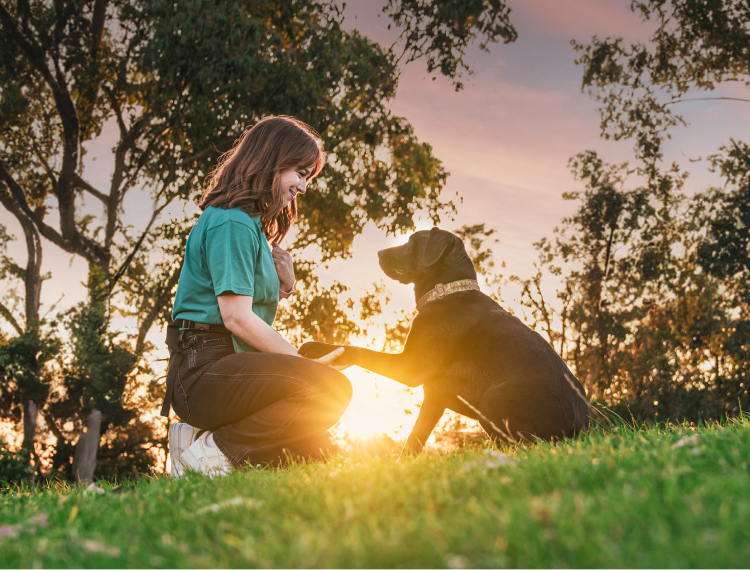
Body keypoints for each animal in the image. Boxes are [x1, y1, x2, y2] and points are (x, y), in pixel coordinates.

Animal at [302, 227, 592, 452]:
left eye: (412, 242)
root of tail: (581, 431)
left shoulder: (409, 367)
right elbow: (414, 441)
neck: (447, 292)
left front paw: (315, 347)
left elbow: (357, 349)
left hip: (492, 400)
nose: (379, 253)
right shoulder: (435, 395)